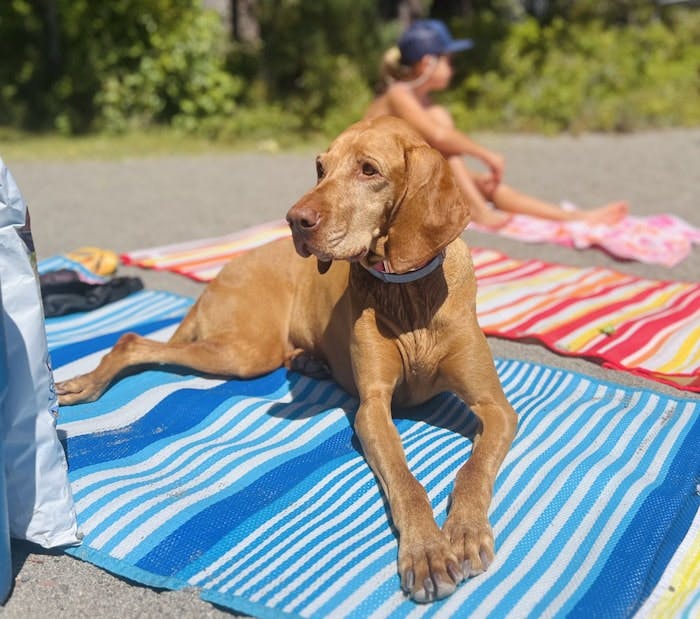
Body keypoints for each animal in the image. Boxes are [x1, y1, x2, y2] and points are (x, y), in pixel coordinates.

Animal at [56, 115, 520, 600]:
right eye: (320, 167)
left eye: (369, 170)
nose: (295, 220)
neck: (409, 291)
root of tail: (221, 272)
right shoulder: (373, 407)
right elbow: (406, 481)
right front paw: (427, 549)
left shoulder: (497, 408)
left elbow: (473, 471)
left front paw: (464, 531)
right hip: (245, 353)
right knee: (132, 338)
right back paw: (85, 383)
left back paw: (308, 361)